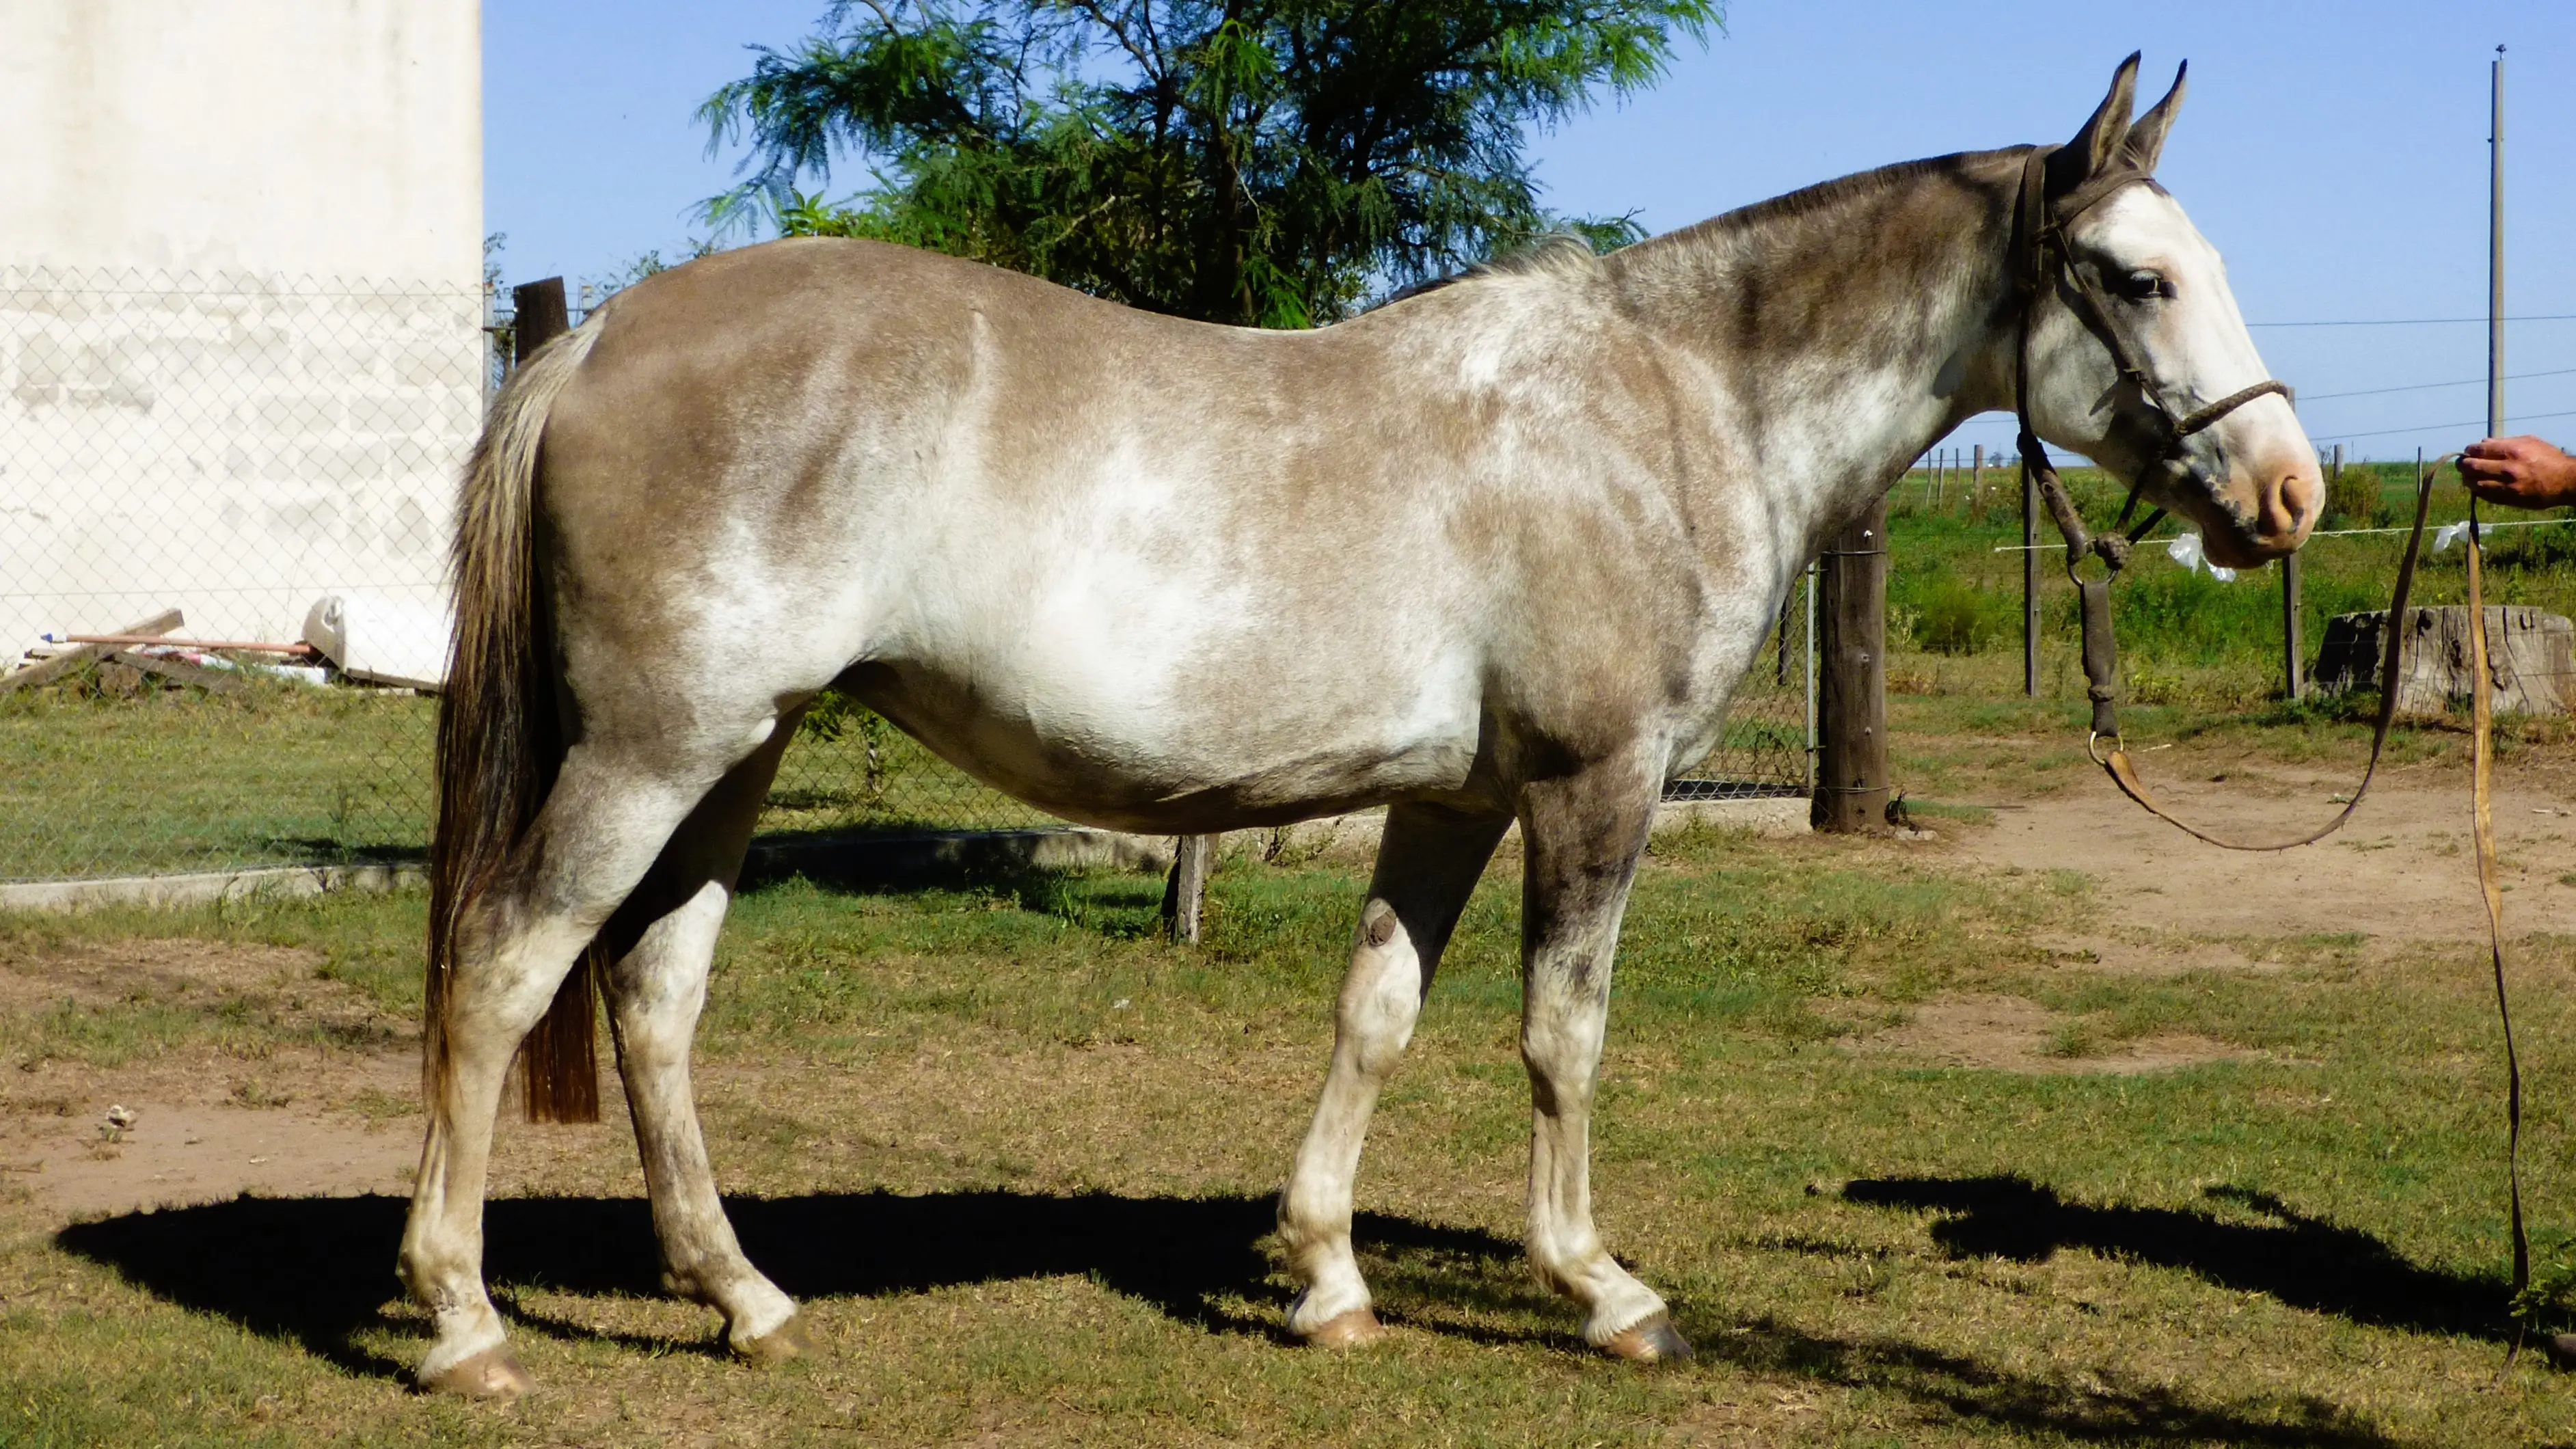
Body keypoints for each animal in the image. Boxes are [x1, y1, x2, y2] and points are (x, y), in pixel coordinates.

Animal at [398, 53, 2320, 1395]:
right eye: (2131, 276)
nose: (2286, 490)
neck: (1665, 405)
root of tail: (603, 335)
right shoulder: (1596, 784)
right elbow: (1562, 1034)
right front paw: (1603, 1289)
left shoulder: (1452, 797)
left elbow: (1377, 1013)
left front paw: (1324, 1277)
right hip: (654, 751)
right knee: (500, 971)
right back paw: (464, 1320)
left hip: (740, 751)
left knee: (651, 997)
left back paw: (744, 1296)